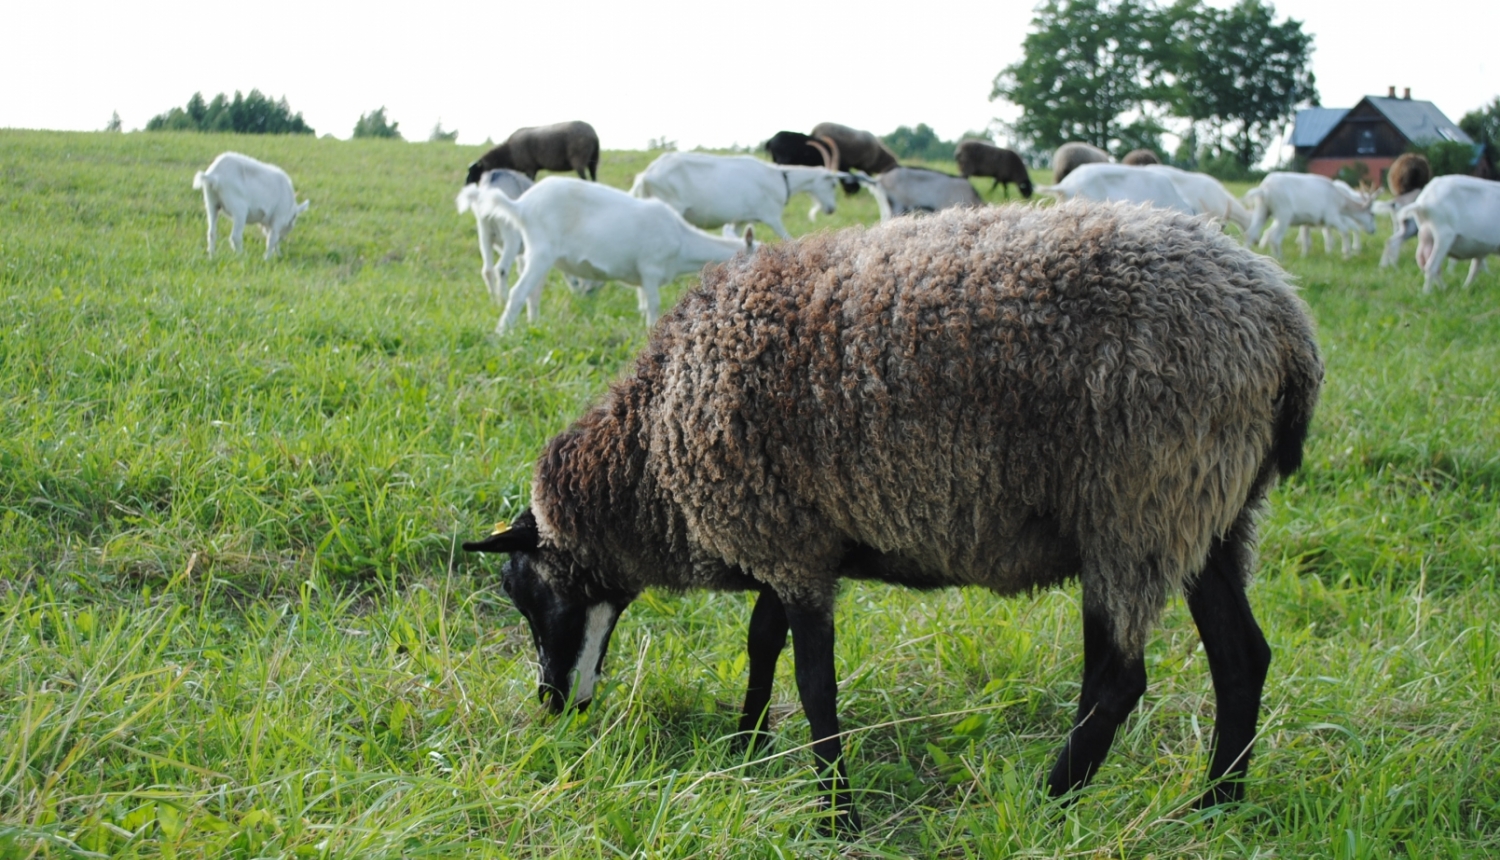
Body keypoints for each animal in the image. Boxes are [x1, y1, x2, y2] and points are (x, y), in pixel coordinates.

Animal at [462, 120, 597, 184]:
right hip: (594, 161)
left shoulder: (530, 168)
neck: (508, 153)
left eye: (474, 170)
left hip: (579, 159)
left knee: (585, 179)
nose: (466, 184)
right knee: (594, 178)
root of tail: (593, 134)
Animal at [462, 177, 756, 331]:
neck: (682, 240)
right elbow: (653, 304)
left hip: (537, 254)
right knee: (518, 292)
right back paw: (503, 333)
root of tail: (520, 206)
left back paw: (534, 325)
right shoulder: (650, 268)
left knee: (532, 293)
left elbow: (642, 303)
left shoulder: (642, 277)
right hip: (541, 249)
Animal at [468, 201, 1326, 834]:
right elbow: (761, 645)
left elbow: (814, 682)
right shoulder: (789, 534)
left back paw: (1051, 802)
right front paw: (747, 747)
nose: (554, 706)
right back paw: (1217, 807)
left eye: (530, 593)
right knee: (1241, 657)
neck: (650, 455)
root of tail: (1286, 329)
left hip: (1138, 505)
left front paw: (834, 813)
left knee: (1118, 676)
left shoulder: (785, 543)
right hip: (1213, 512)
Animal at [630, 150, 846, 238]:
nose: (831, 209)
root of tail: (647, 174)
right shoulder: (771, 217)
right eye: (833, 183)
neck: (781, 178)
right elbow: (788, 240)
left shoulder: (741, 220)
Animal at [1236, 171, 1374, 258]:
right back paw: (1280, 258)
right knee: (1274, 237)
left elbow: (1306, 240)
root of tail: (1264, 189)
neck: (1340, 200)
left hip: (1263, 210)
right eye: (1372, 214)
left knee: (1250, 233)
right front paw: (1347, 254)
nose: (1373, 230)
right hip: (1283, 214)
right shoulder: (1331, 216)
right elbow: (1344, 231)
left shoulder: (1307, 221)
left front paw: (1305, 255)